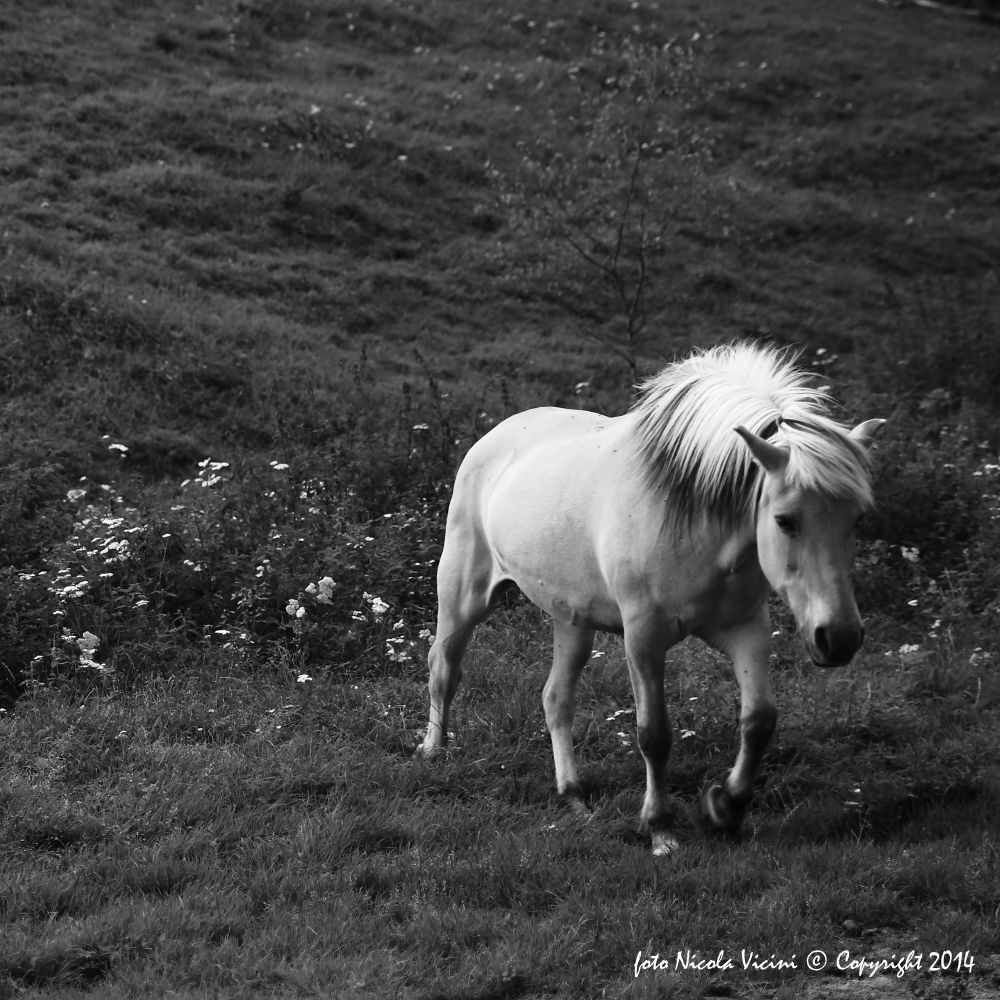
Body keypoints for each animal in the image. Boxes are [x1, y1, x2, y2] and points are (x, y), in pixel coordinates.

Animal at [419, 342, 884, 856]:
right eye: (785, 520)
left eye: (858, 518)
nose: (839, 638)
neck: (696, 518)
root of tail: (495, 437)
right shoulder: (643, 637)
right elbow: (654, 735)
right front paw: (661, 829)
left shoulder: (746, 629)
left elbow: (759, 720)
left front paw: (724, 808)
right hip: (464, 595)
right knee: (444, 667)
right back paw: (434, 751)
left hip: (571, 620)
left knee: (556, 698)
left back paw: (572, 796)